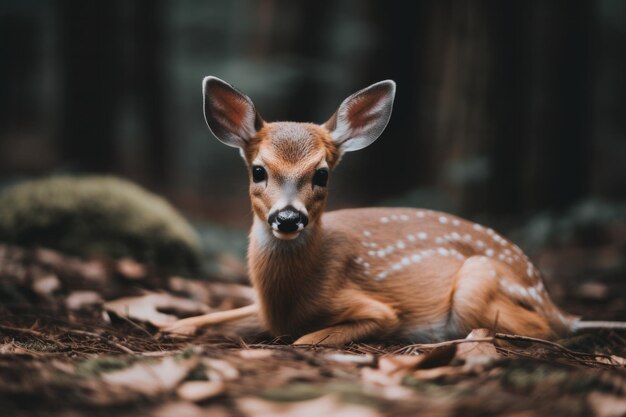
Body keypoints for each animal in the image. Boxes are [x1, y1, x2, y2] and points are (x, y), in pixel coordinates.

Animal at [161, 76, 624, 342]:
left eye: (322, 175)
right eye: (258, 170)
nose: (288, 217)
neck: (286, 299)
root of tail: (555, 304)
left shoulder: (380, 312)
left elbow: (304, 340)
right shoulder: (262, 309)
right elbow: (199, 323)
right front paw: (170, 327)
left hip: (477, 286)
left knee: (544, 332)